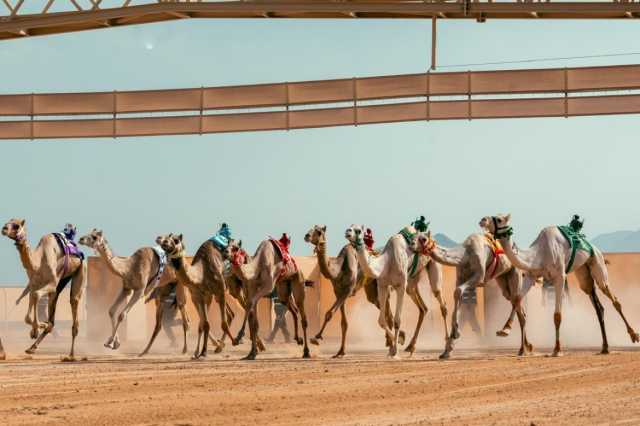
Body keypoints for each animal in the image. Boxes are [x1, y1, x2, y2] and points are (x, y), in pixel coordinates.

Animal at [1, 220, 86, 360]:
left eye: (16, 225)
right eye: (8, 222)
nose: (3, 228)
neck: (38, 262)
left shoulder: (51, 283)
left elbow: (36, 295)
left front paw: (36, 329)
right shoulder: (34, 284)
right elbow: (28, 314)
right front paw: (36, 329)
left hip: (80, 269)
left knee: (74, 303)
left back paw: (71, 355)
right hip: (61, 282)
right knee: (52, 318)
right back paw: (31, 348)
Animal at [416, 230, 528, 360]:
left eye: (423, 239)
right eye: (416, 237)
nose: (412, 246)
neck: (465, 254)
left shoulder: (479, 277)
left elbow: (458, 291)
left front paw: (456, 333)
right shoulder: (460, 277)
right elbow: (457, 295)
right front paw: (447, 350)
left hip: (515, 271)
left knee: (516, 298)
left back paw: (507, 332)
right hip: (502, 277)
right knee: (517, 306)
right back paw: (524, 348)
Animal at [482, 213, 636, 356]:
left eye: (499, 219)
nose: (483, 220)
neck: (539, 254)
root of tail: (595, 249)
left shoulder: (560, 278)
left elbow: (557, 315)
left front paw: (556, 349)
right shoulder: (532, 276)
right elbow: (517, 298)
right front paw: (505, 330)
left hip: (597, 264)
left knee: (613, 299)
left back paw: (633, 335)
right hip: (583, 274)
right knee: (598, 306)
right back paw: (605, 347)